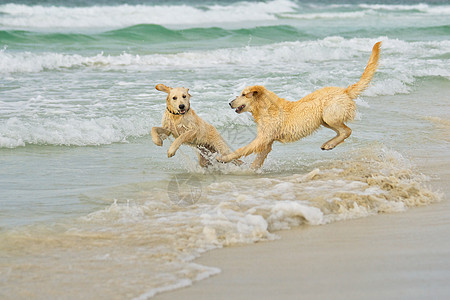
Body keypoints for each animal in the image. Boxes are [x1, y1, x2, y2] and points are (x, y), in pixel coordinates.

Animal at [216, 41, 382, 170]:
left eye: (243, 94)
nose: (229, 103)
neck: (265, 108)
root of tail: (345, 91)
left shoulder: (262, 138)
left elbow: (241, 149)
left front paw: (223, 158)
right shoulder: (267, 142)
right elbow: (258, 159)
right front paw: (252, 170)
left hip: (329, 115)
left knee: (347, 130)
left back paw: (329, 144)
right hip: (324, 120)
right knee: (343, 131)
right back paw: (328, 144)